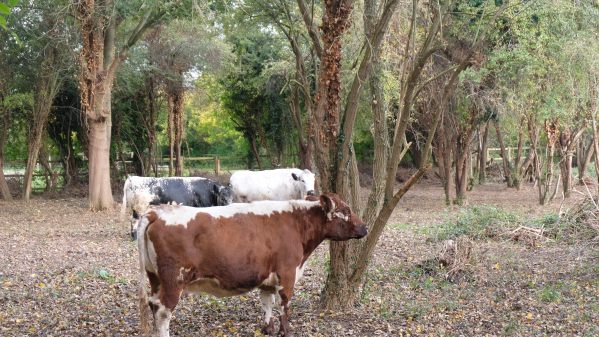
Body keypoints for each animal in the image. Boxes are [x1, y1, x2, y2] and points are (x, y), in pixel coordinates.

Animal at [138, 193, 368, 334]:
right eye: (346, 211)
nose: (365, 227)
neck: (296, 223)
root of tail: (156, 212)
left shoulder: (267, 276)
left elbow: (267, 303)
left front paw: (267, 329)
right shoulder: (287, 272)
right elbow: (285, 305)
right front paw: (285, 331)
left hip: (155, 278)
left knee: (153, 304)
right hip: (173, 280)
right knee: (163, 311)